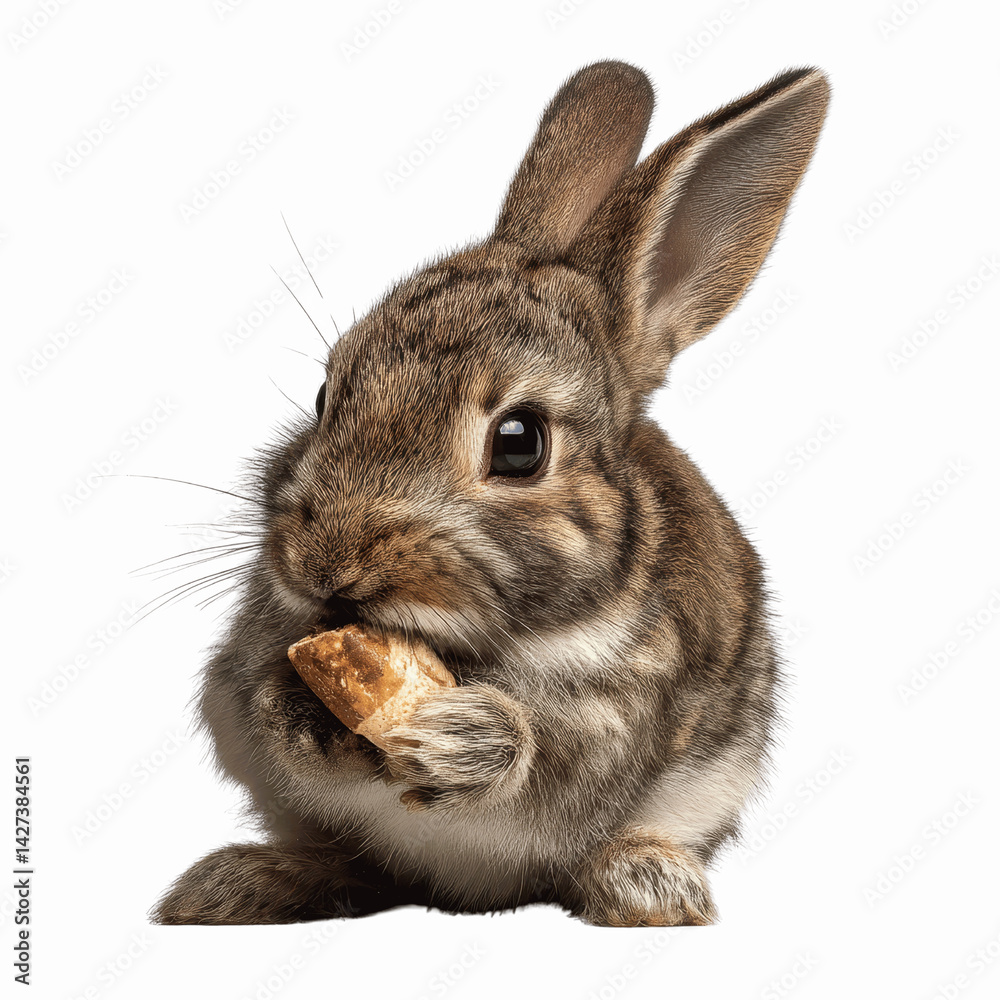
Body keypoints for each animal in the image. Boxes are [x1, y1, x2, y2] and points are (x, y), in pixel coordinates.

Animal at [151, 60, 829, 927]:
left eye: (519, 443)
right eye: (326, 396)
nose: (324, 566)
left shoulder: (616, 717)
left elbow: (550, 762)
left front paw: (463, 738)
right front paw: (299, 710)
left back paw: (648, 884)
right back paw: (240, 882)